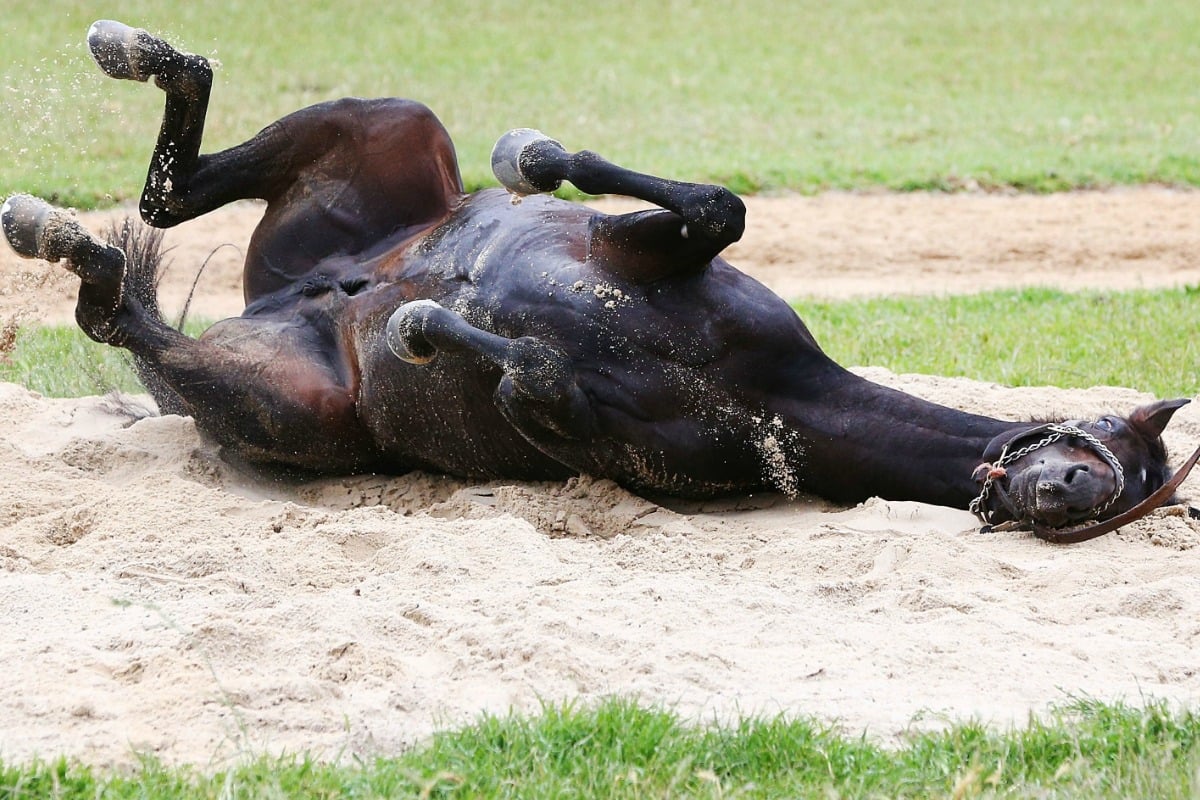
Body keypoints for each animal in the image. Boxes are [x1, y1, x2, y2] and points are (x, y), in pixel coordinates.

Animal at [4, 20, 1195, 544]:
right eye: (1099, 451)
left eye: (1121, 498)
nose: (1058, 494)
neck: (779, 396)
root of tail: (281, 298)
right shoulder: (653, 249)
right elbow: (713, 204)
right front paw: (530, 158)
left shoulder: (586, 429)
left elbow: (528, 367)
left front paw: (425, 324)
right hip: (389, 125)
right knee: (169, 195)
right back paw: (127, 60)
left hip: (288, 404)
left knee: (124, 302)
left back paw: (67, 237)